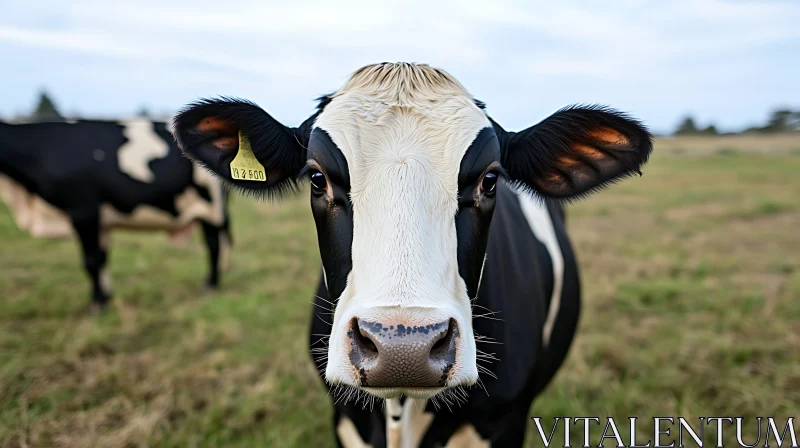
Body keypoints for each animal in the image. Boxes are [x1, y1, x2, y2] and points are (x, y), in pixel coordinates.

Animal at [0, 117, 231, 310]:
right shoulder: (100, 221)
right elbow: (102, 258)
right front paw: (106, 296)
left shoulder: (83, 212)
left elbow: (91, 260)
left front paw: (97, 303)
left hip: (212, 208)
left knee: (214, 245)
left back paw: (211, 284)